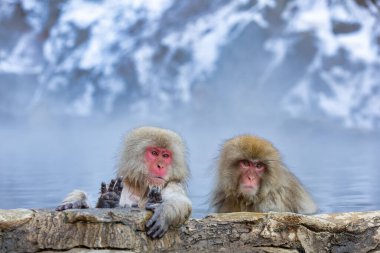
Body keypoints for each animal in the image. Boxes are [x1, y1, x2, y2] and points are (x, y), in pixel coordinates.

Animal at [55, 126, 193, 239]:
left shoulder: (173, 184)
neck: (143, 186)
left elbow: (181, 201)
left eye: (165, 156)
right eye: (154, 153)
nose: (160, 166)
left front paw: (165, 212)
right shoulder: (124, 183)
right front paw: (80, 202)